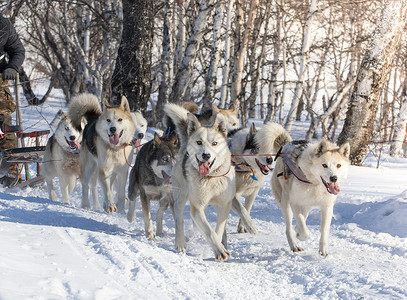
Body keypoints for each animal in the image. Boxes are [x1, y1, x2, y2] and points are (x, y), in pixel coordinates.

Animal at [165, 102, 255, 260]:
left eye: (214, 143)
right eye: (199, 142)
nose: (206, 155)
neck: (211, 177)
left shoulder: (225, 204)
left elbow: (218, 229)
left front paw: (220, 247)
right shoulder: (197, 208)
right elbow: (209, 231)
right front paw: (219, 251)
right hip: (181, 197)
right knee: (179, 220)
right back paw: (180, 242)